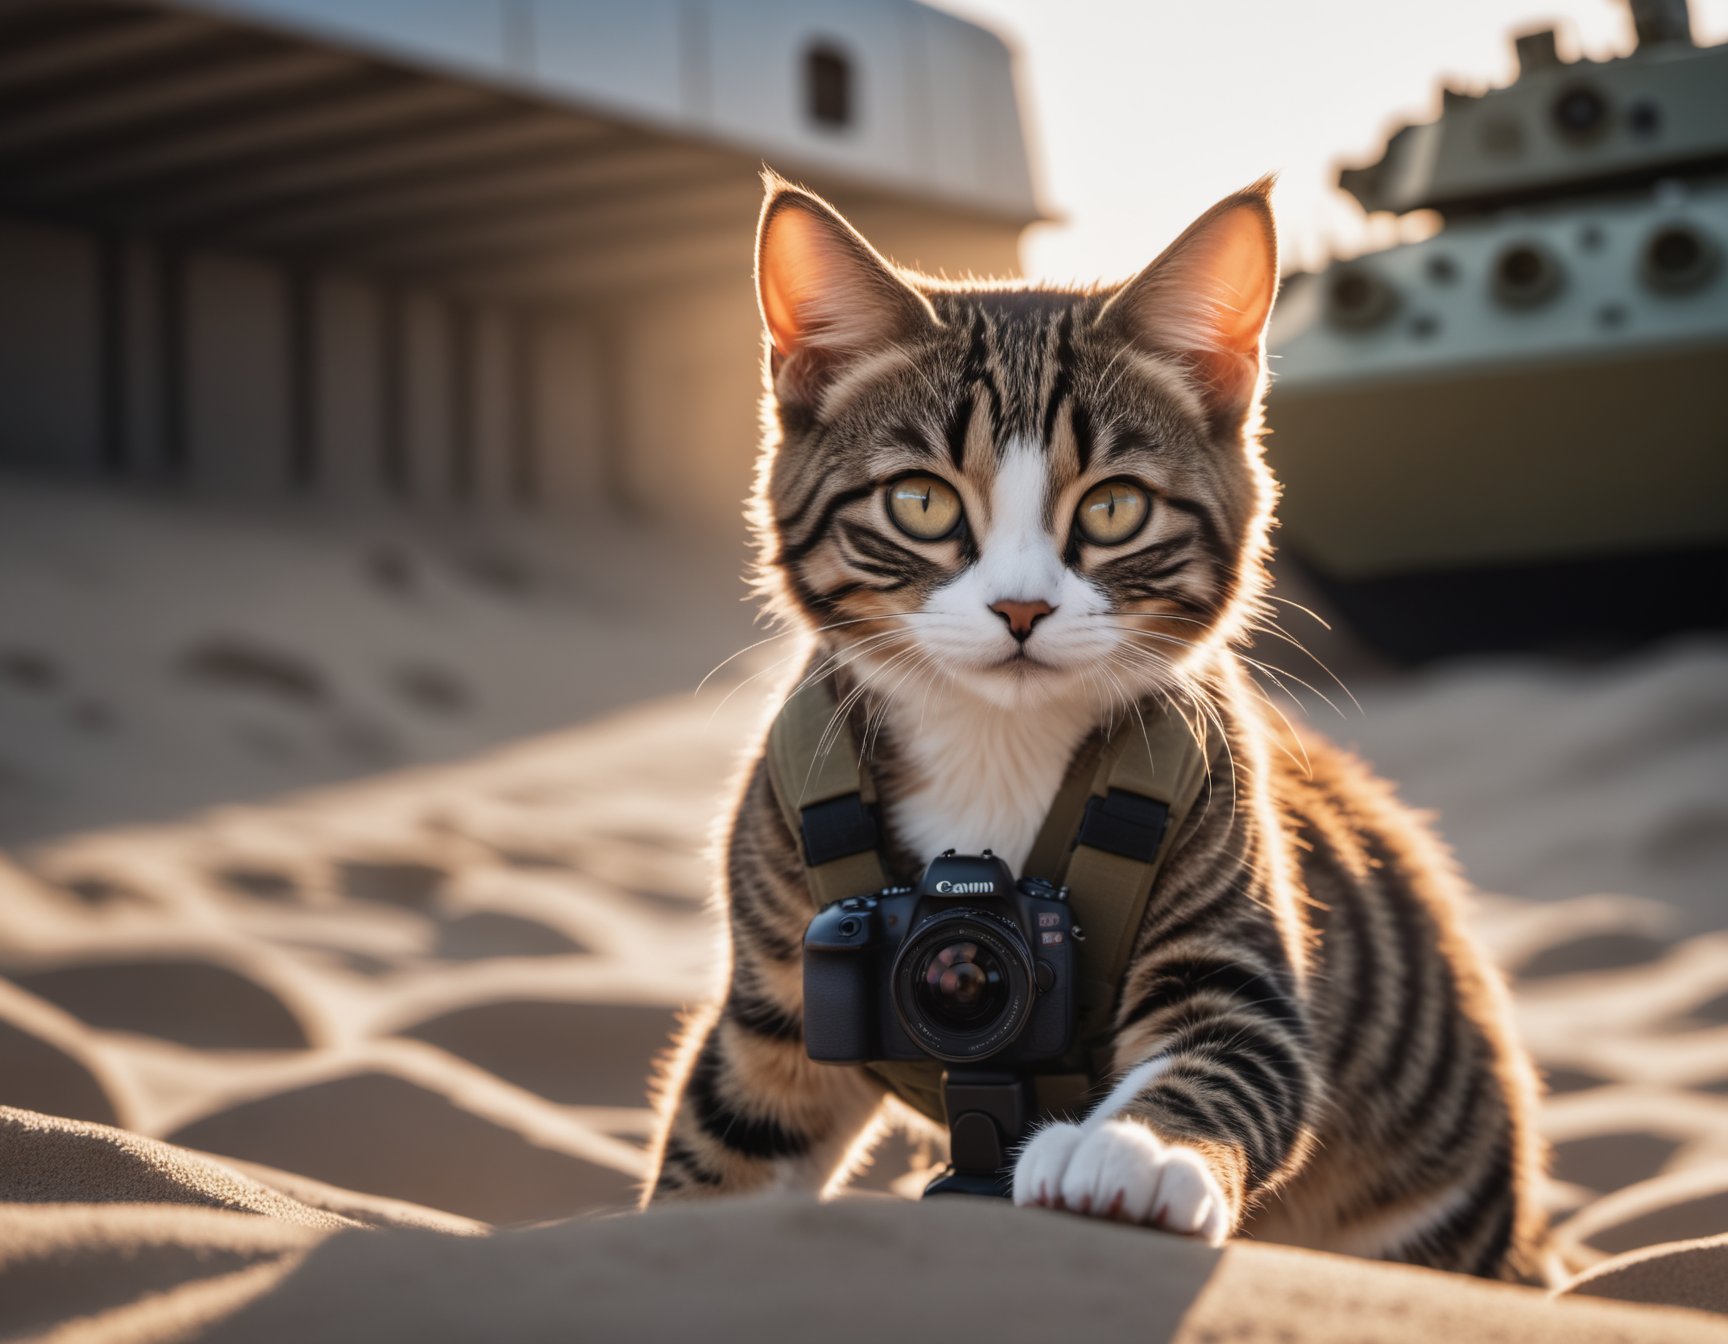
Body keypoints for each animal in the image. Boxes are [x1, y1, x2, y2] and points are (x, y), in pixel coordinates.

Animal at [649, 172, 1555, 1271]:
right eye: (919, 502)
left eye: (1115, 509)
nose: (1021, 609)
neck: (994, 747)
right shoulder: (782, 985)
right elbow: (729, 1142)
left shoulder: (1225, 866)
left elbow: (1238, 1046)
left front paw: (1133, 1153)